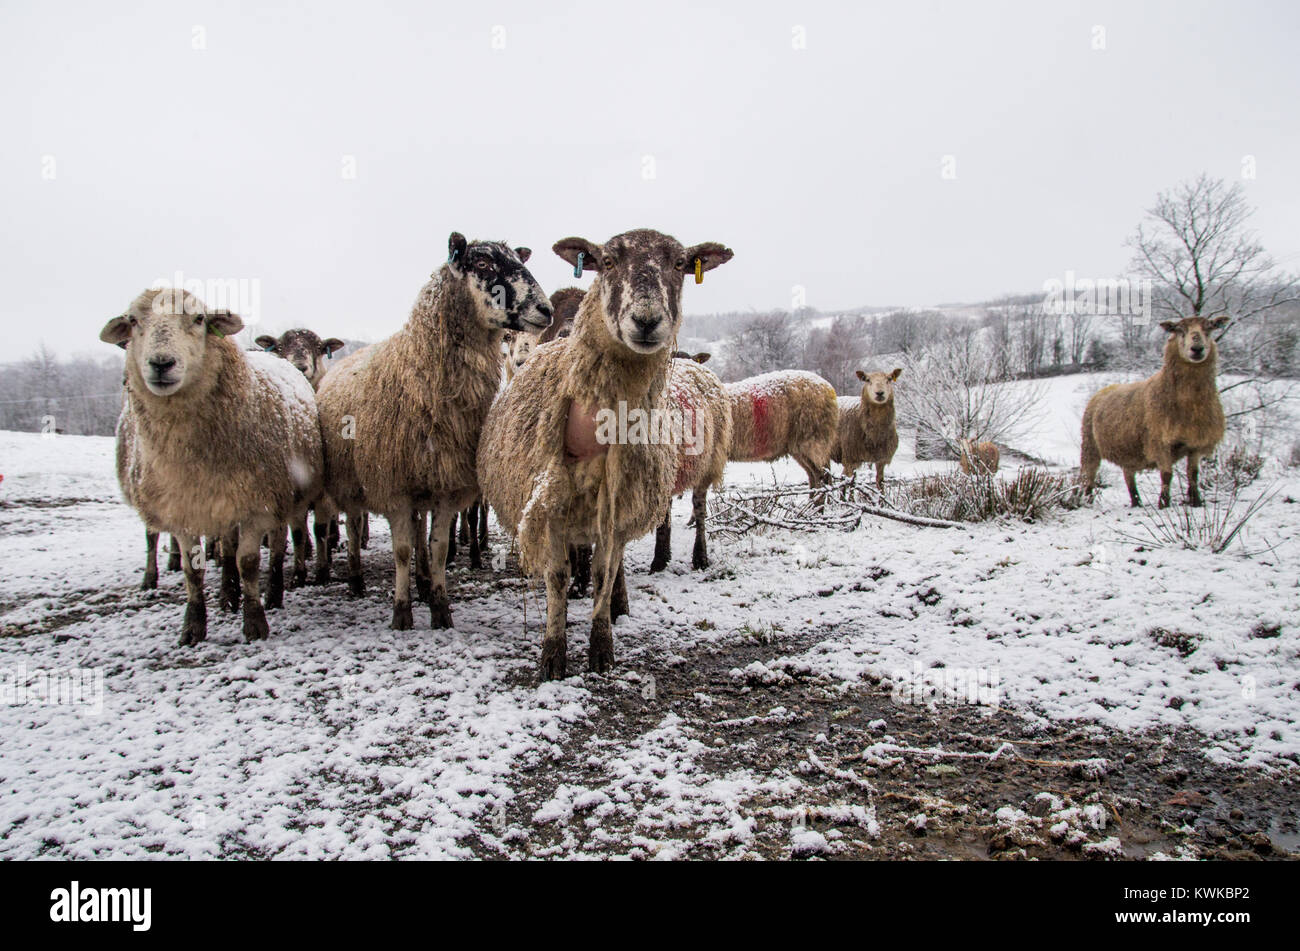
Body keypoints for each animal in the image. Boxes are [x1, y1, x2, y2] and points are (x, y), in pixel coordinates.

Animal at [322, 232, 556, 631]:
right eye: (483, 264)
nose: (546, 309)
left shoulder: (446, 483)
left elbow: (438, 547)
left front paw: (440, 606)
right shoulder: (394, 485)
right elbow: (401, 549)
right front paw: (402, 612)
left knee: (418, 532)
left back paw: (421, 582)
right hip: (352, 482)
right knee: (354, 527)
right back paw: (356, 580)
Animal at [1076, 314, 1227, 509]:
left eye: (1209, 329)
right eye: (1180, 330)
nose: (1197, 349)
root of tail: (1102, 391)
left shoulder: (1195, 442)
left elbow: (1193, 474)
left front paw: (1196, 501)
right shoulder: (1159, 442)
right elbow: (1167, 474)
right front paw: (1164, 503)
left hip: (1128, 450)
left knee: (1128, 476)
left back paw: (1136, 501)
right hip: (1090, 445)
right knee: (1089, 476)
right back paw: (1087, 500)